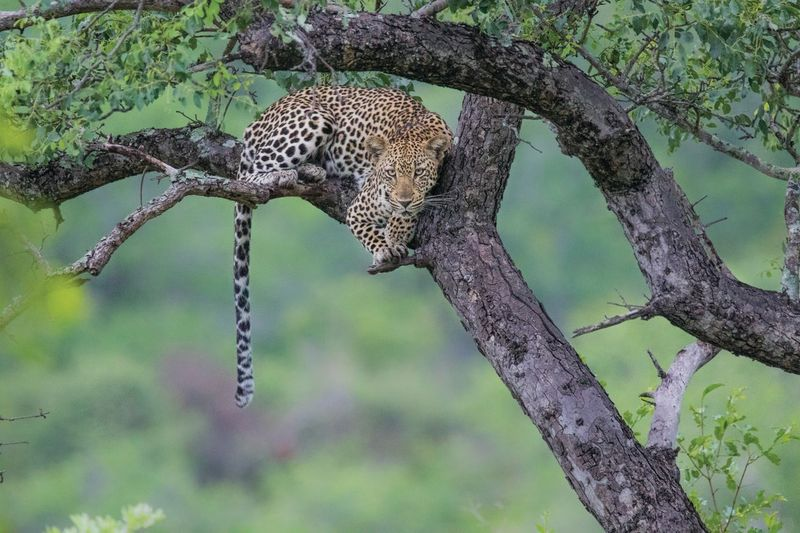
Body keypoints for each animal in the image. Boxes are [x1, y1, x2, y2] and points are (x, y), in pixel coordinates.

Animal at [233, 85, 452, 407]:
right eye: (390, 173)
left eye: (418, 173)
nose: (402, 199)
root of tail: (260, 118)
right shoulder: (360, 207)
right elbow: (366, 229)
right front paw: (385, 248)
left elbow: (410, 212)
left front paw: (397, 233)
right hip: (314, 121)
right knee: (250, 173)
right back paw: (284, 174)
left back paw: (311, 171)